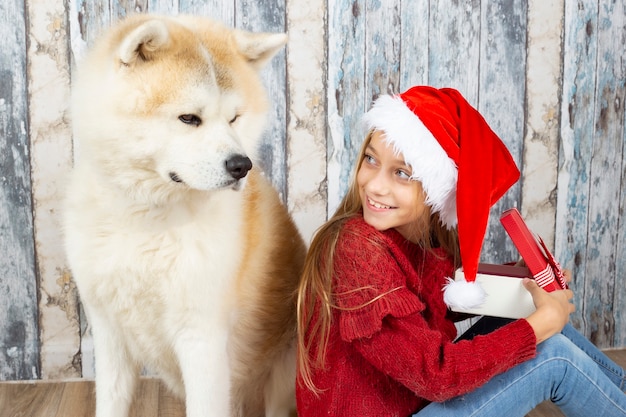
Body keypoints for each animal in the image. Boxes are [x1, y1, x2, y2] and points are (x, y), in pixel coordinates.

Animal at [62, 13, 304, 416]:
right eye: (189, 118)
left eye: (234, 118)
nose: (241, 165)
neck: (145, 223)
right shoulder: (110, 331)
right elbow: (111, 401)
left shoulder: (201, 337)